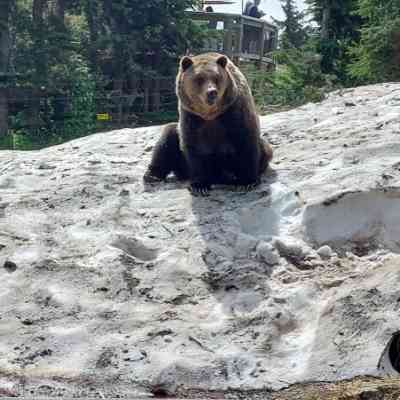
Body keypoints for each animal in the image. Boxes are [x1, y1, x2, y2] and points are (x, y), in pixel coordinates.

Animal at [143, 52, 272, 196]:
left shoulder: (234, 110)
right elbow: (194, 148)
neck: (210, 114)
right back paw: (152, 175)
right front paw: (200, 185)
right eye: (199, 79)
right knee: (167, 136)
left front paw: (247, 182)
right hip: (181, 161)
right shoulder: (191, 117)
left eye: (216, 77)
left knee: (264, 149)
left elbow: (246, 140)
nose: (212, 92)